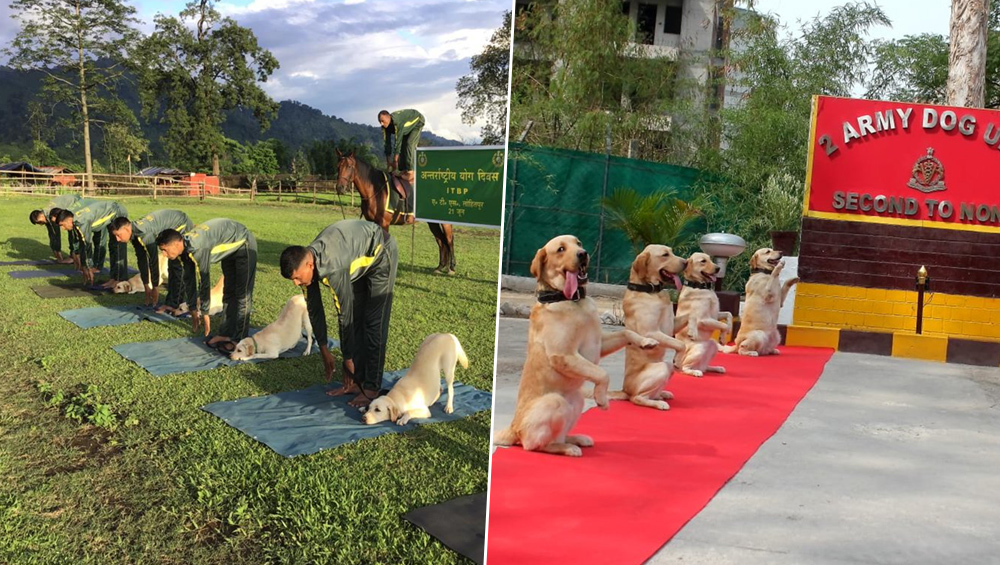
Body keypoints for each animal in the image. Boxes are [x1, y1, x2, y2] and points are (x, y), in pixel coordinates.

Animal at [490, 236, 656, 456]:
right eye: (561, 249)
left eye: (579, 243)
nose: (583, 254)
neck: (573, 300)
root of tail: (513, 427)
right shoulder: (563, 355)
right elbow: (603, 373)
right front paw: (602, 399)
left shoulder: (599, 343)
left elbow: (626, 333)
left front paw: (646, 342)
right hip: (554, 402)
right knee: (534, 445)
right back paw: (567, 447)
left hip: (576, 401)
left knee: (557, 434)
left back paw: (575, 439)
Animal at [608, 242, 688, 410]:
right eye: (665, 255)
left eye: (671, 251)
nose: (686, 262)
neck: (651, 291)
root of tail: (625, 390)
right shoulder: (651, 332)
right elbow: (680, 343)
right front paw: (678, 360)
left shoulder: (672, 326)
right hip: (662, 367)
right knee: (637, 398)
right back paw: (659, 403)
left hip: (665, 369)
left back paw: (662, 395)